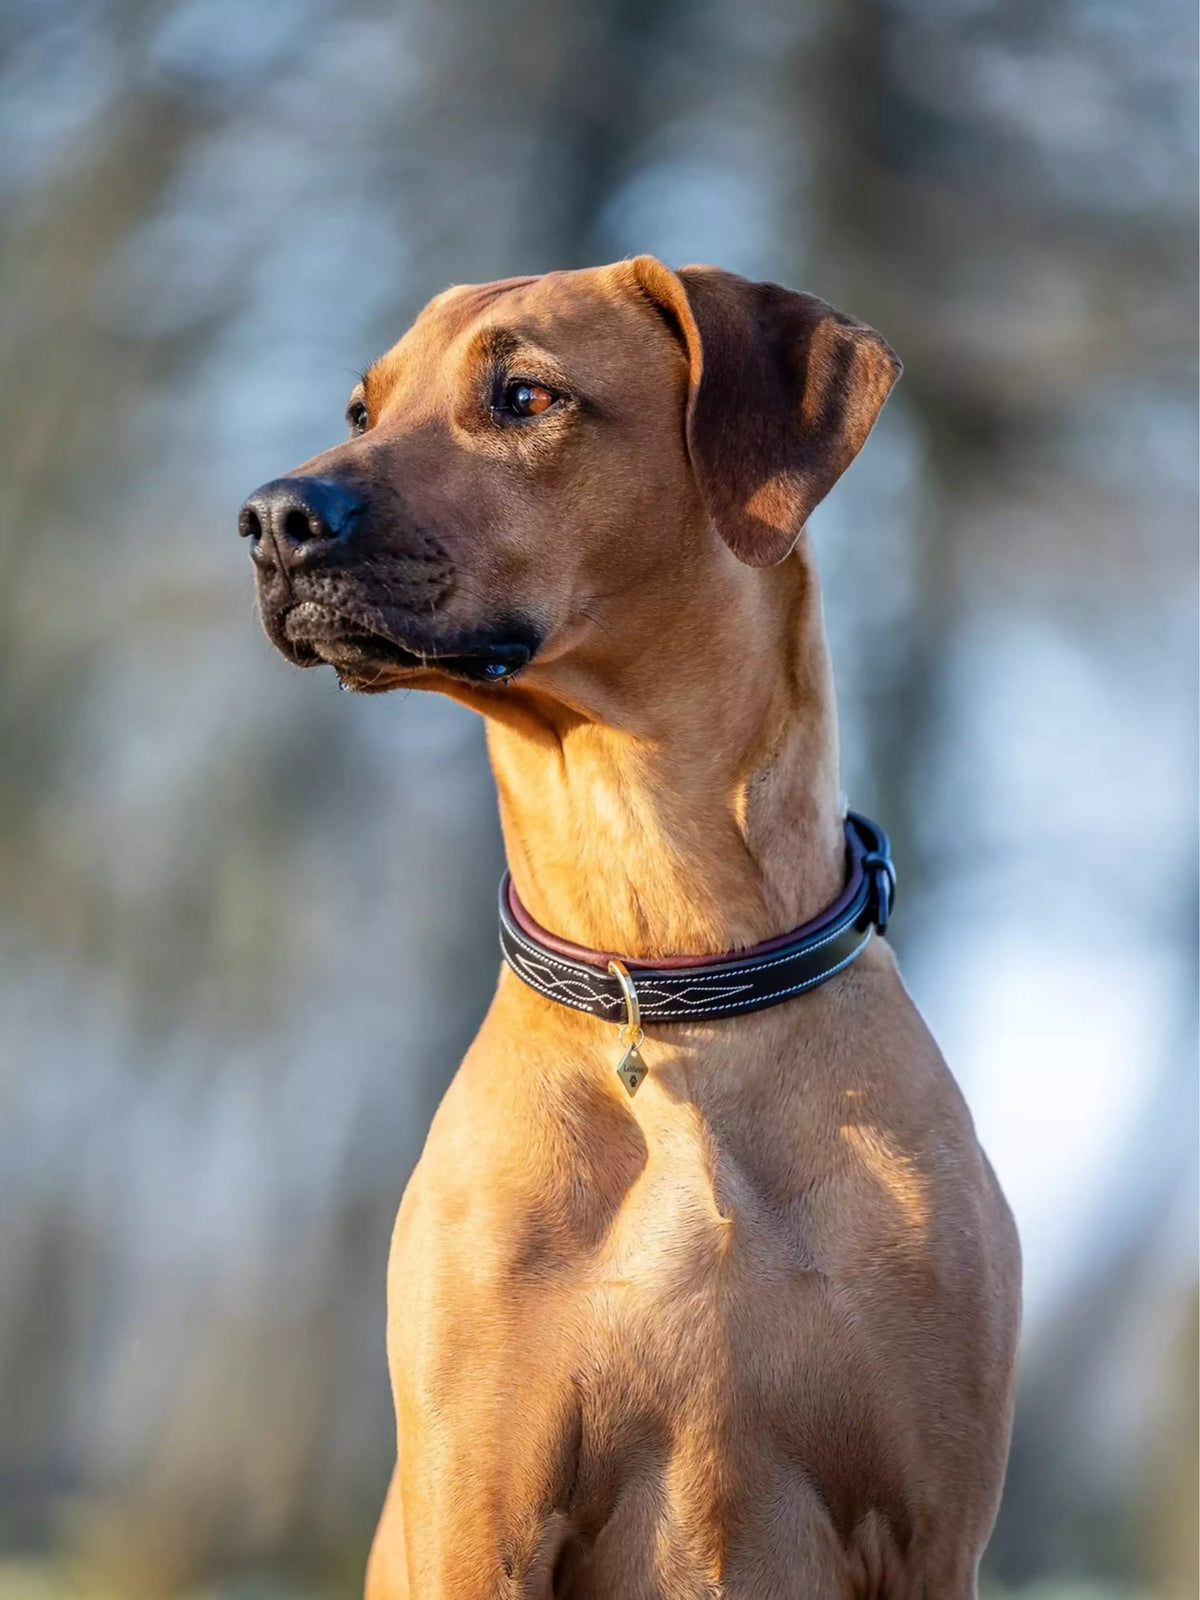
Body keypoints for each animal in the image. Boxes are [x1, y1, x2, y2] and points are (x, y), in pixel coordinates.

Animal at [240, 256, 1017, 1593]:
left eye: (525, 394)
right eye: (361, 409)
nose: (272, 516)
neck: (666, 967)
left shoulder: (931, 1532)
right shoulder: (482, 1518)